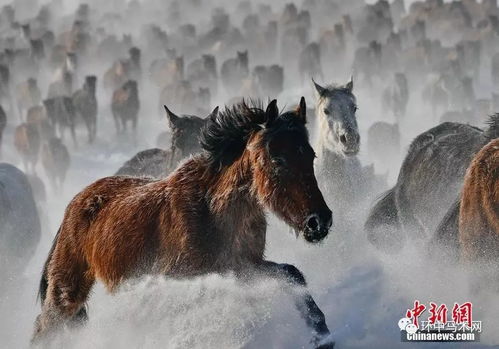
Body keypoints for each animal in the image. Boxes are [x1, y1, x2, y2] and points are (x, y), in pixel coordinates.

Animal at [31, 98, 336, 348]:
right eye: (277, 159)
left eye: (311, 155)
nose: (318, 222)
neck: (212, 211)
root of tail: (74, 205)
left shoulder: (242, 268)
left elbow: (292, 274)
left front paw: (321, 335)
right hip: (67, 292)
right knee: (44, 329)